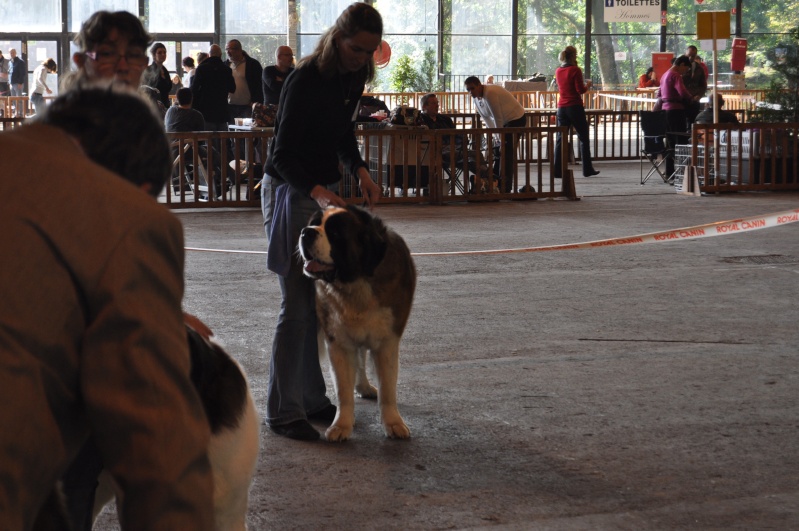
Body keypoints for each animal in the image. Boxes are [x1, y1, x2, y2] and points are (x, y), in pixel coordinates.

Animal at [296, 206, 416, 442]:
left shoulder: (387, 342)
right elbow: (343, 390)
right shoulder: (338, 342)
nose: (306, 232)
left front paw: (393, 423)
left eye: (334, 233)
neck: (356, 282)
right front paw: (341, 425)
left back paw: (364, 386)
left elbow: (388, 389)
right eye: (314, 223)